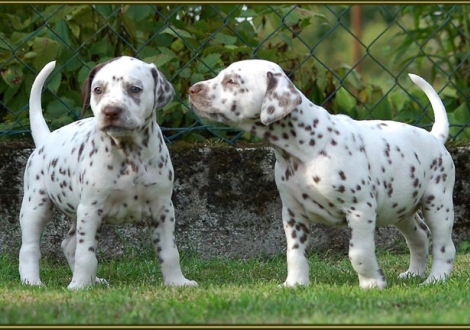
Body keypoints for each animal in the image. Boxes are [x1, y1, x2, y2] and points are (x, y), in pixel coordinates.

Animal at [18, 56, 196, 288]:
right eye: (98, 90)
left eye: (135, 89)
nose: (111, 111)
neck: (129, 153)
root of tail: (46, 138)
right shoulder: (90, 210)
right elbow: (86, 254)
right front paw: (79, 286)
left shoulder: (163, 209)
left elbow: (169, 251)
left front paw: (177, 282)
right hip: (36, 206)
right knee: (30, 248)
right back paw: (32, 281)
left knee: (68, 244)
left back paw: (94, 280)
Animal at [188, 59, 456, 288]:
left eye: (232, 81)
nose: (192, 89)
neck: (304, 149)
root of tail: (434, 136)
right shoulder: (293, 213)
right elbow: (294, 253)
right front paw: (295, 284)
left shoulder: (360, 210)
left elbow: (359, 252)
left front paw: (372, 283)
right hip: (400, 208)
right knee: (420, 236)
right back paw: (413, 273)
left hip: (438, 204)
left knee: (444, 246)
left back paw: (435, 279)